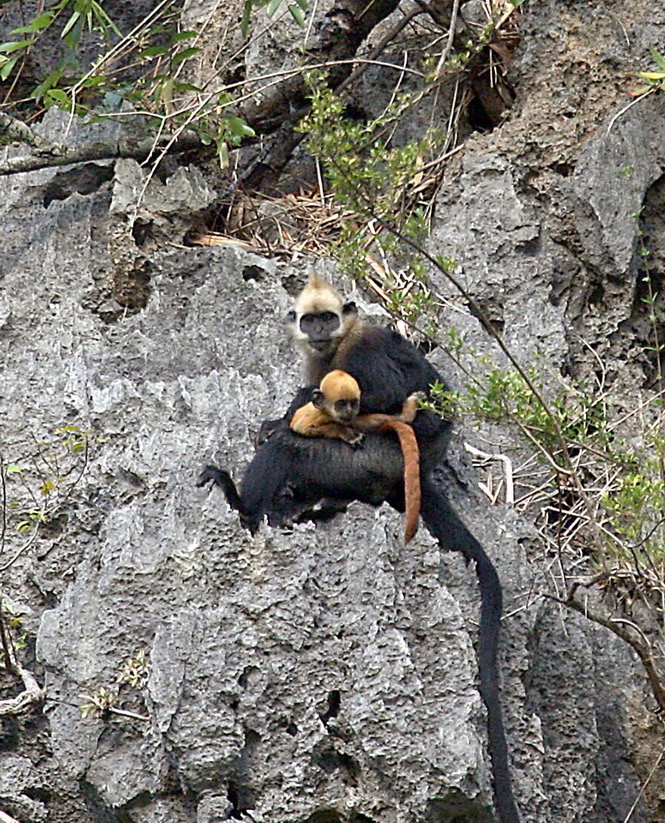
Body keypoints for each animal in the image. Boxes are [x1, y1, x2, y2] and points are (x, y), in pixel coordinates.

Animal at [288, 372, 422, 540]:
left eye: (353, 403)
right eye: (341, 404)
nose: (349, 411)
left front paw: (408, 412)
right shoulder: (314, 416)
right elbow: (301, 427)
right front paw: (347, 433)